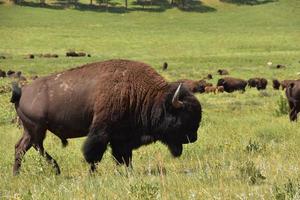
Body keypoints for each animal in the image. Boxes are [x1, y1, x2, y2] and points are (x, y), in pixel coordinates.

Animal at [9, 59, 202, 175]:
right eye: (183, 117)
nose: (193, 138)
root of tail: (22, 91)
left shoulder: (122, 137)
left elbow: (124, 156)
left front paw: (128, 172)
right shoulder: (102, 131)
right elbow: (94, 154)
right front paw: (92, 174)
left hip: (31, 130)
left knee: (21, 147)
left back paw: (17, 174)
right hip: (37, 128)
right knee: (35, 146)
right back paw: (56, 169)